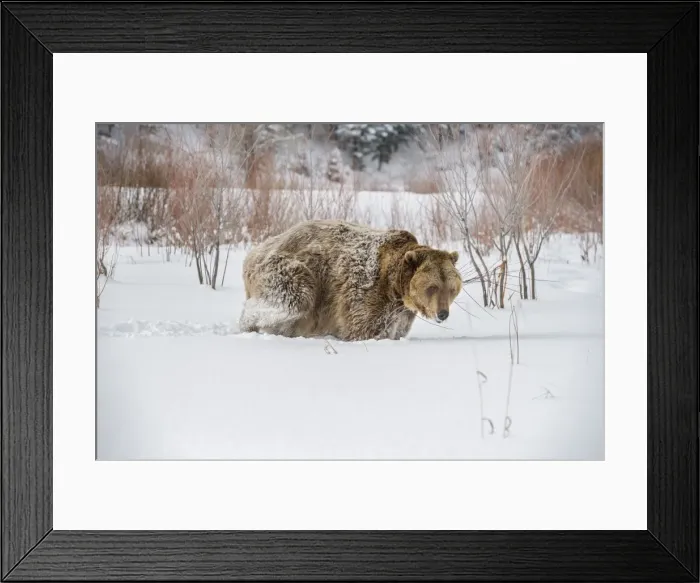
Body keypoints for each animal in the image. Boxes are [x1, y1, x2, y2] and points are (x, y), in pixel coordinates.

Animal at [239, 220, 462, 341]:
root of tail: (253, 253)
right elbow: (362, 328)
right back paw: (246, 324)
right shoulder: (365, 290)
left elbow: (395, 330)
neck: (395, 287)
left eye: (452, 289)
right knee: (292, 300)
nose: (443, 313)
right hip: (291, 270)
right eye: (432, 287)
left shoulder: (401, 312)